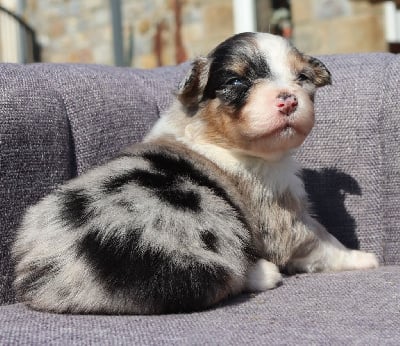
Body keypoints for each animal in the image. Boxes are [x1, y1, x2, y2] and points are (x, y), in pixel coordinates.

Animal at [10, 31, 376, 314]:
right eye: (235, 81)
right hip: (206, 222)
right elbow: (322, 243)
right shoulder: (283, 222)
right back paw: (263, 273)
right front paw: (363, 258)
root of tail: (52, 278)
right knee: (221, 277)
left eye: (302, 78)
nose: (288, 100)